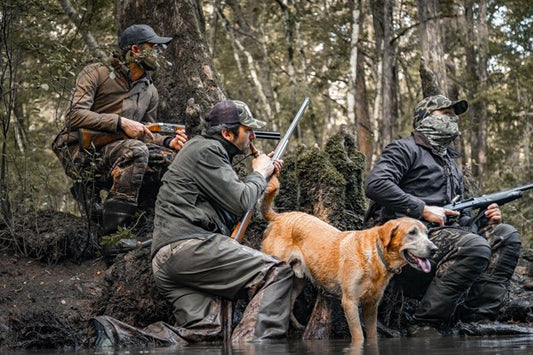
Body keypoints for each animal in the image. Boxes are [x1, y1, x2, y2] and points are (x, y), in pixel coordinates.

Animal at [258, 177, 436, 344]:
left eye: (427, 233)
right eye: (412, 233)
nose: (434, 249)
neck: (375, 257)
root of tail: (279, 216)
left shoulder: (371, 305)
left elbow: (372, 335)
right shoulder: (350, 303)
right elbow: (359, 336)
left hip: (298, 280)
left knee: (289, 301)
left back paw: (296, 326)